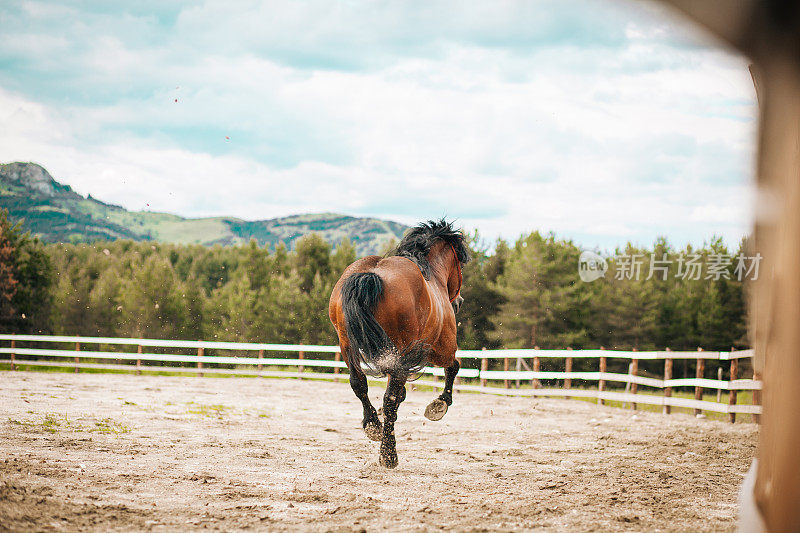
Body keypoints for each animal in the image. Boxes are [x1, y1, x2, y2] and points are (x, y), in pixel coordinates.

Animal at [330, 218, 472, 468]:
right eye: (460, 265)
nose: (459, 302)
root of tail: (372, 275)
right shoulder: (441, 348)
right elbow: (453, 367)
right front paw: (439, 404)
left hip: (348, 346)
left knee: (359, 384)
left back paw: (373, 426)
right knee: (390, 399)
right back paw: (389, 454)